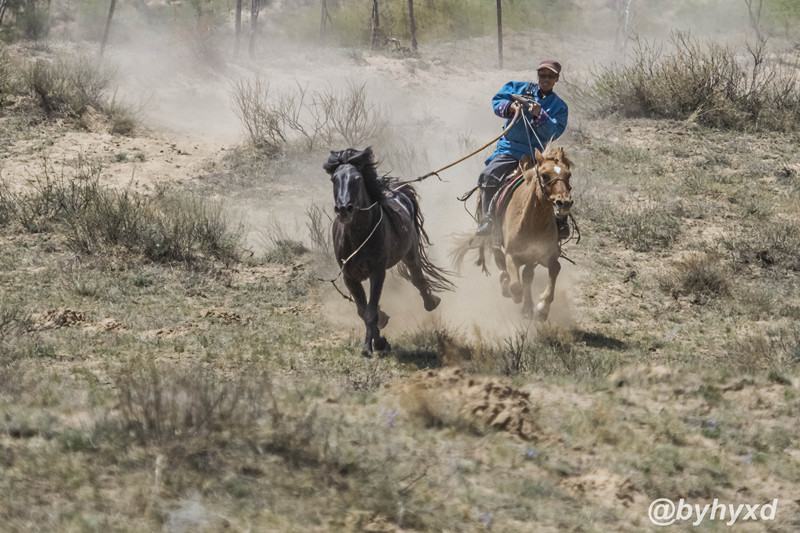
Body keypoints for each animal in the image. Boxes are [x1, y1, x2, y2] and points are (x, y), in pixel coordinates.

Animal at [322, 145, 454, 358]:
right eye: (334, 179)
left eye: (357, 179)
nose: (343, 209)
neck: (358, 236)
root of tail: (397, 191)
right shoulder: (349, 277)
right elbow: (363, 310)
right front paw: (380, 340)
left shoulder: (377, 272)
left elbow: (370, 312)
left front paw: (371, 347)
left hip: (410, 252)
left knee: (417, 277)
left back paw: (431, 301)